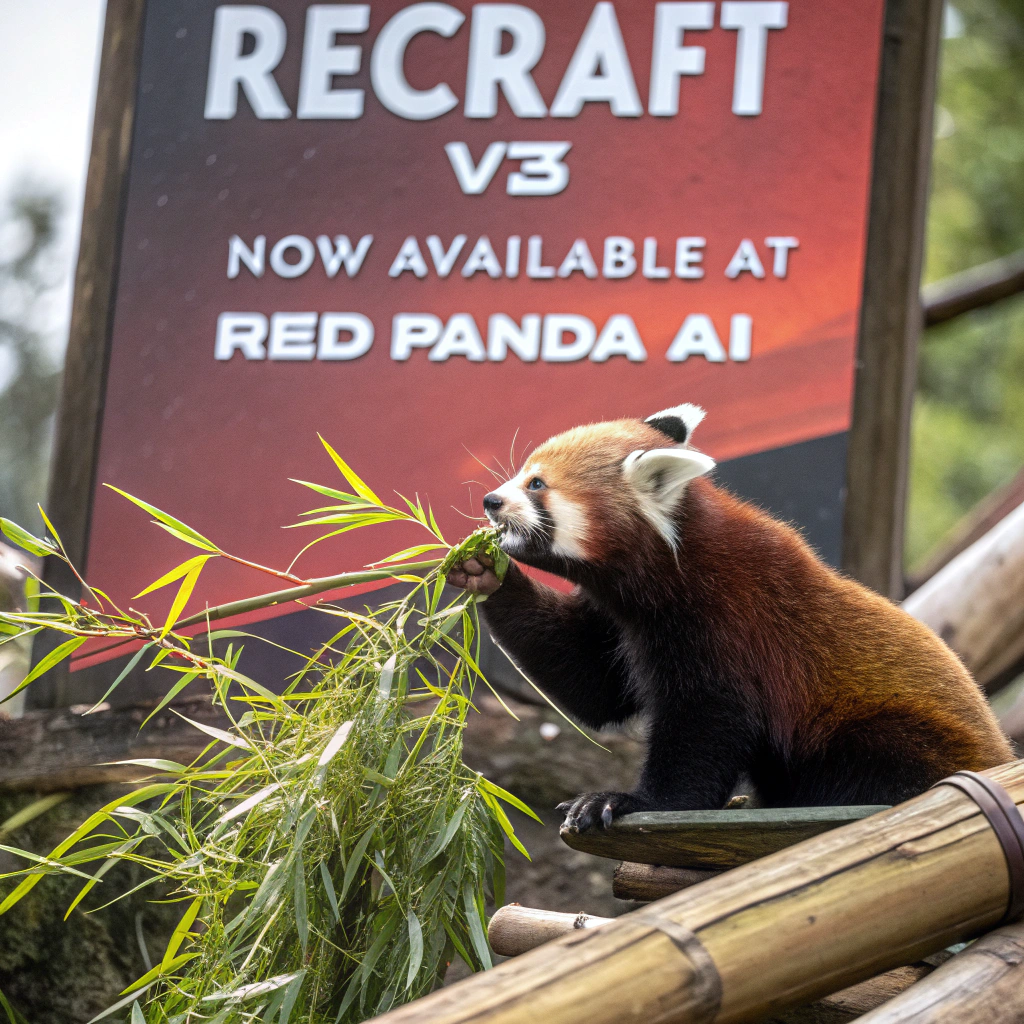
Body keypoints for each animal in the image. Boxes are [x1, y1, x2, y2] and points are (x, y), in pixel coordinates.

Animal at [446, 404, 1013, 831]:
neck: (672, 570)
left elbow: (706, 726)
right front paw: (481, 569)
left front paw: (630, 802)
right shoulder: (619, 620)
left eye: (536, 485)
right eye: (523, 475)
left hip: (895, 734)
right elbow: (590, 683)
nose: (491, 500)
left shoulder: (731, 621)